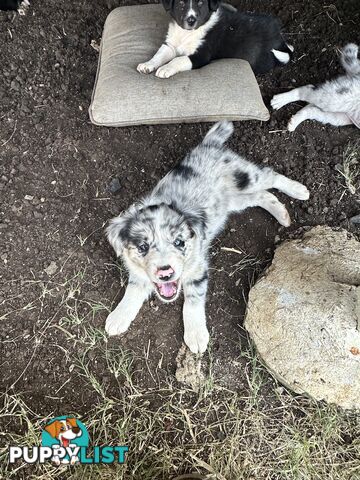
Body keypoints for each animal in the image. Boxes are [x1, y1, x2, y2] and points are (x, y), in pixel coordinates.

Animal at [105, 122, 310, 354]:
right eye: (142, 247)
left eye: (179, 243)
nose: (165, 273)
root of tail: (209, 144)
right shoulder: (138, 272)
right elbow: (132, 290)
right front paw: (117, 318)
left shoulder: (198, 268)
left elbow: (193, 300)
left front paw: (196, 336)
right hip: (234, 201)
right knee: (263, 195)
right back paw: (282, 215)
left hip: (245, 178)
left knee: (270, 175)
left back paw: (299, 190)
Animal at [137, 0, 292, 78]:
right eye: (181, 3)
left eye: (200, 3)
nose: (191, 20)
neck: (187, 33)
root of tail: (278, 37)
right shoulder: (170, 45)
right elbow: (159, 55)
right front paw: (147, 64)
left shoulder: (201, 55)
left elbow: (178, 59)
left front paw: (166, 68)